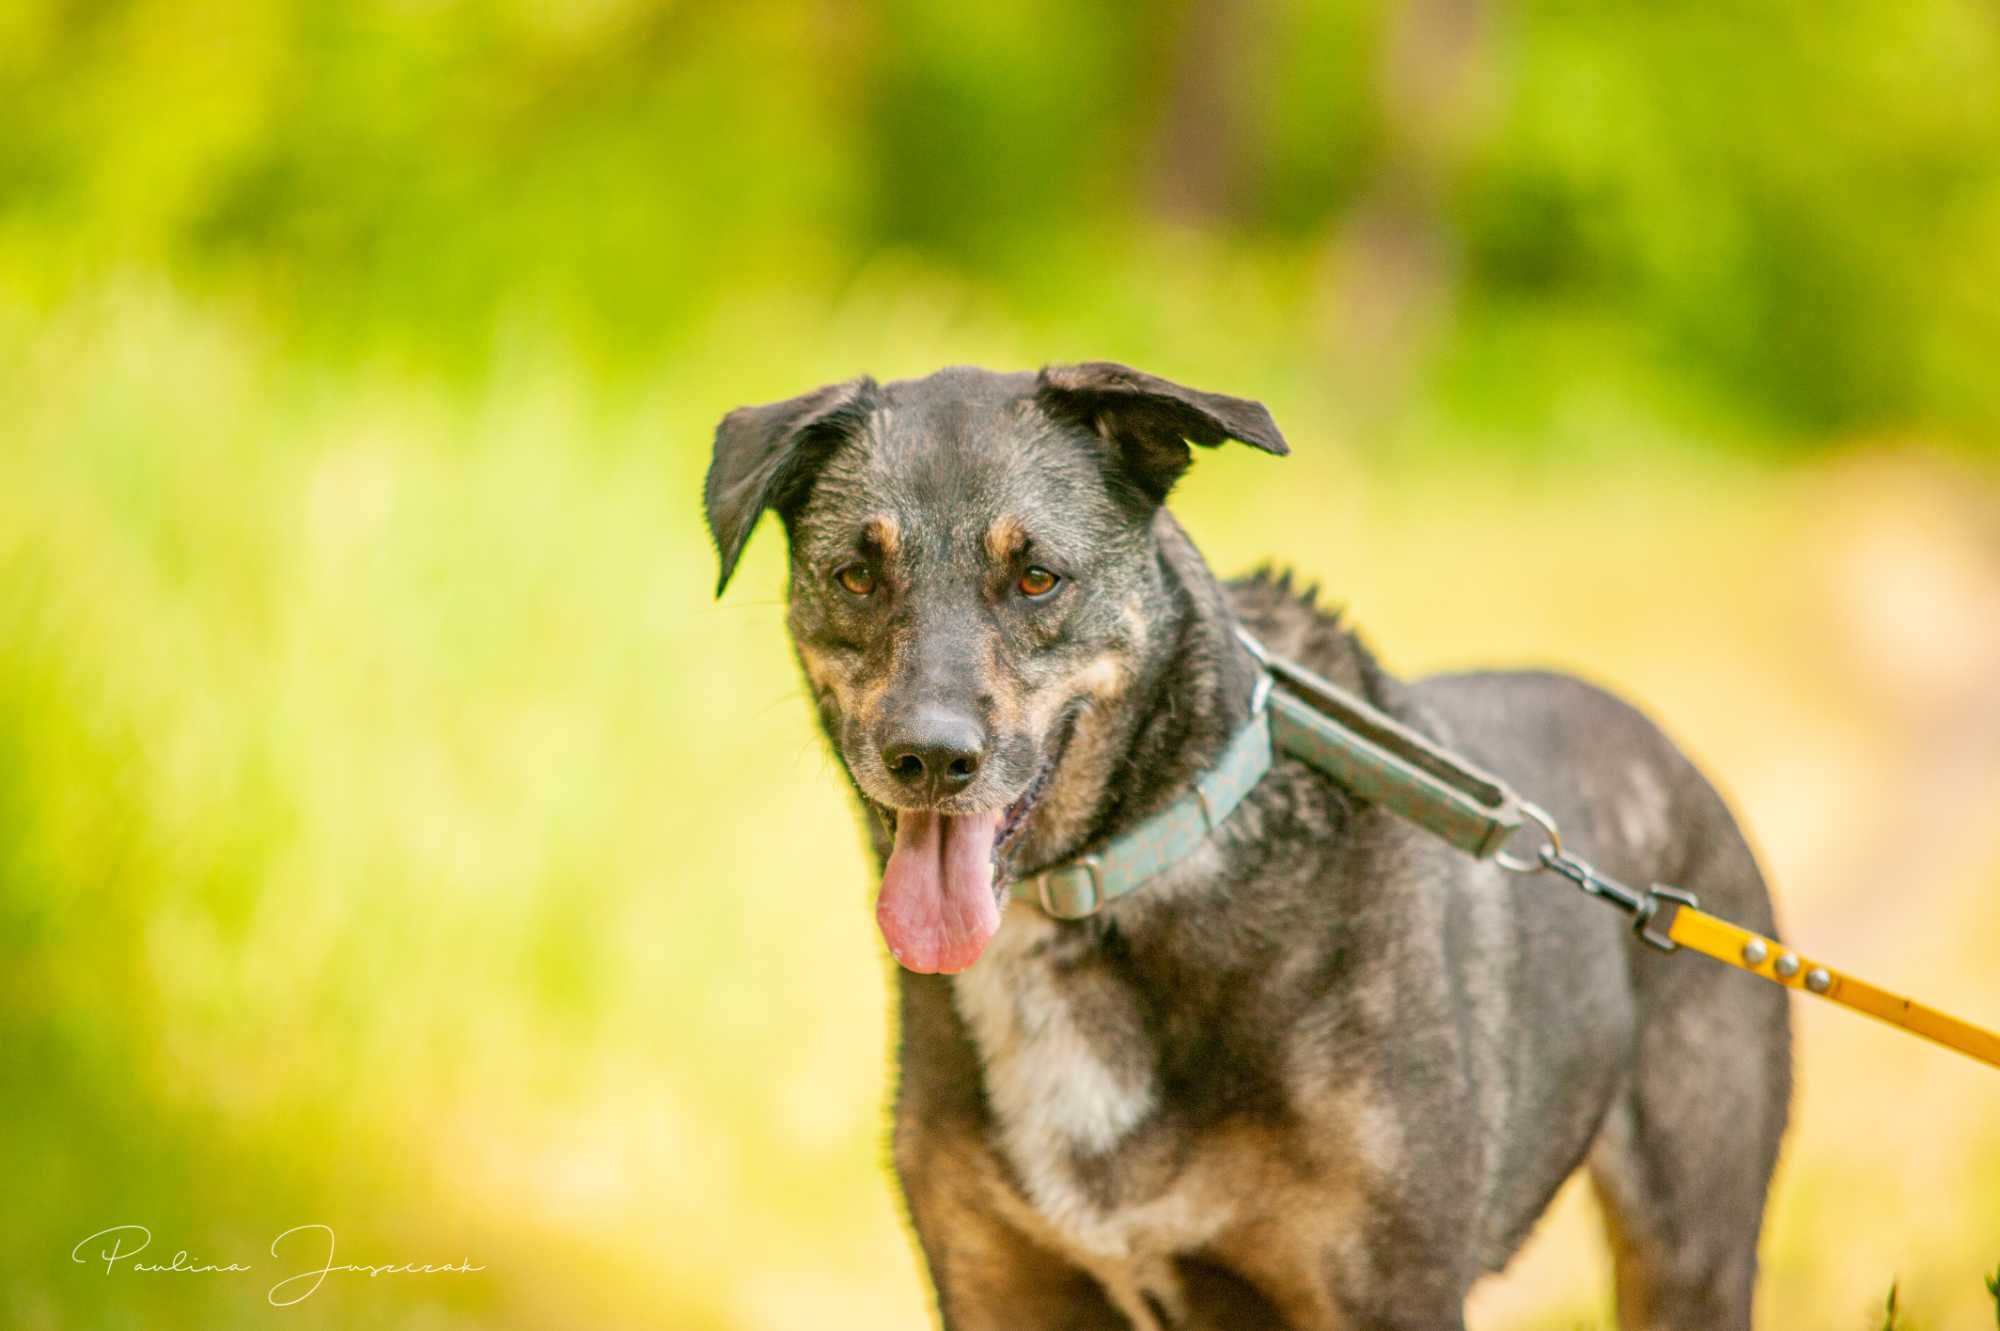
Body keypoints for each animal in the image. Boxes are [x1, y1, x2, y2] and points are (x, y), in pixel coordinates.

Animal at [708, 363, 1800, 1327]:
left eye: (1035, 577)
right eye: (856, 574)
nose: (929, 756)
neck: (1103, 893)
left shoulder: (1383, 1291)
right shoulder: (999, 1287)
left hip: (1690, 1243)